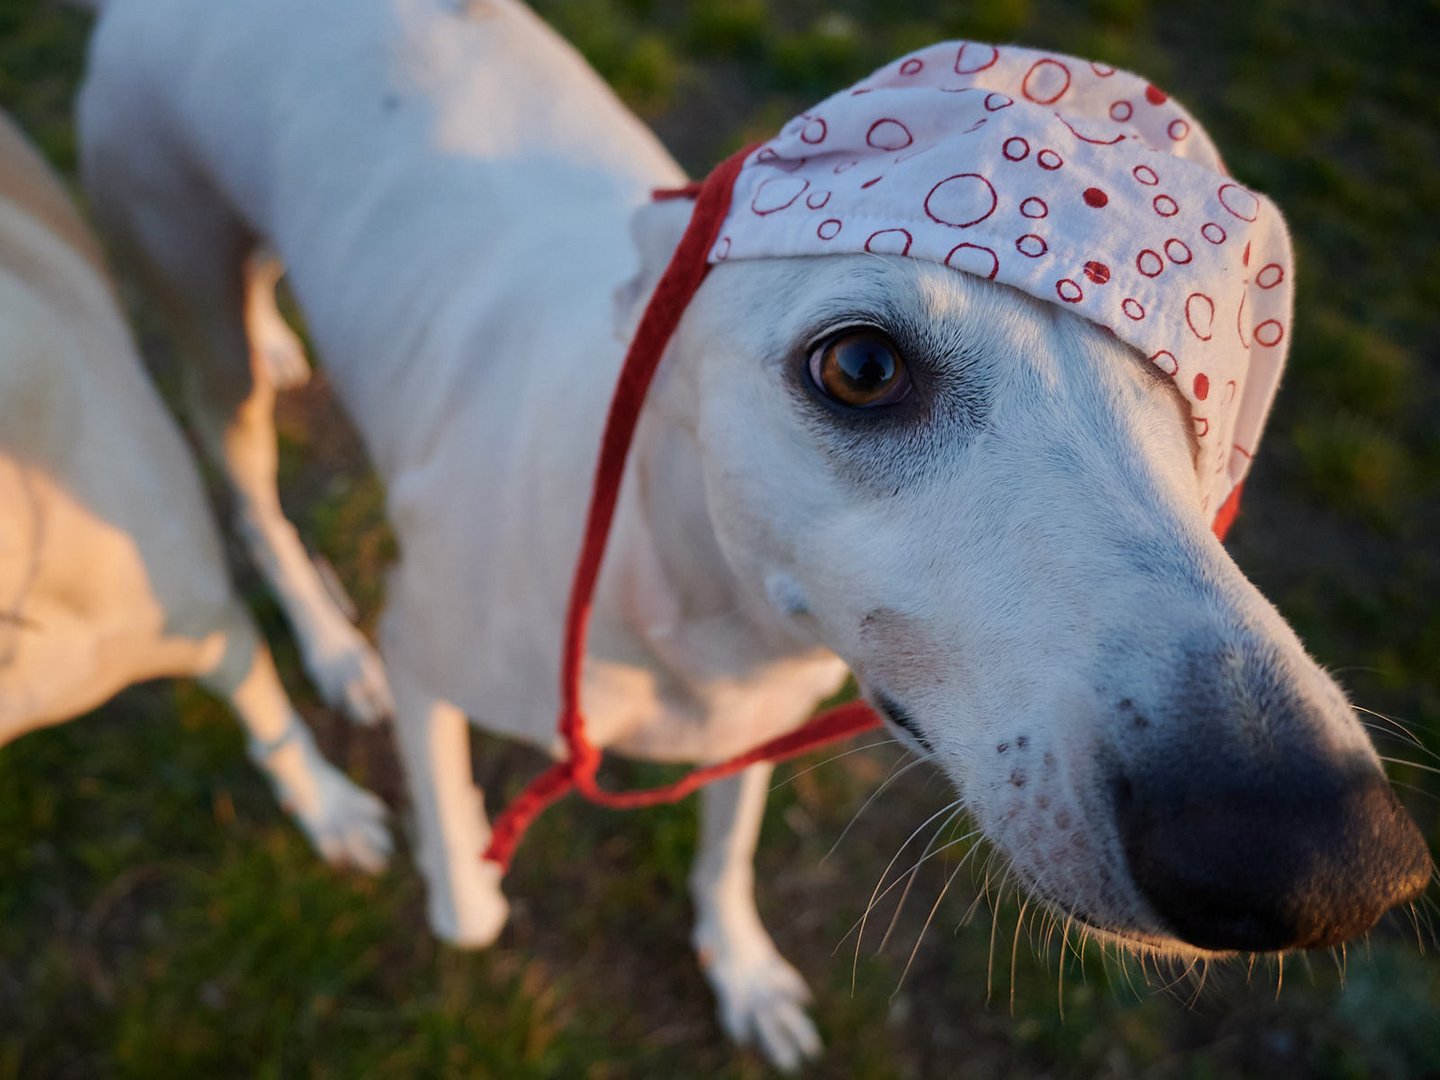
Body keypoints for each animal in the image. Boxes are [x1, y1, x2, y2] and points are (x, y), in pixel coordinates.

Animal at [75, 0, 1428, 1065]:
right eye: (861, 365)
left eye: (1205, 402)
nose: (1327, 863)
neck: (671, 585)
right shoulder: (433, 656)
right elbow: (461, 866)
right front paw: (462, 884)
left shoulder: (755, 726)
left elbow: (723, 857)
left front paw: (742, 969)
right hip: (183, 284)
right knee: (249, 489)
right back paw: (326, 640)